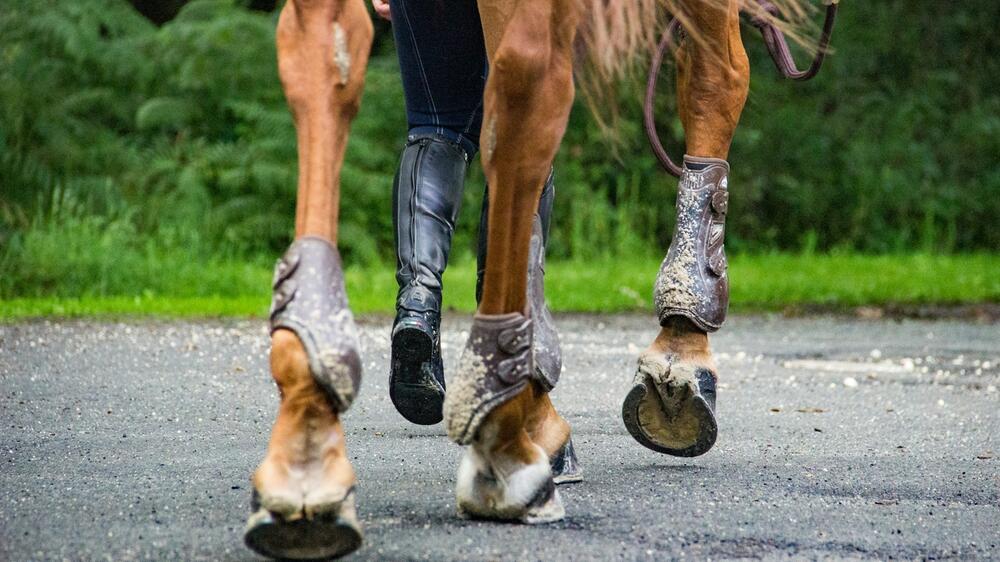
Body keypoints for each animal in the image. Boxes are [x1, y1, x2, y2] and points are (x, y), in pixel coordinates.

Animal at [244, 0, 828, 552]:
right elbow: (719, 77)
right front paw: (680, 359)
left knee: (338, 57)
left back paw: (312, 445)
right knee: (524, 89)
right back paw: (511, 446)